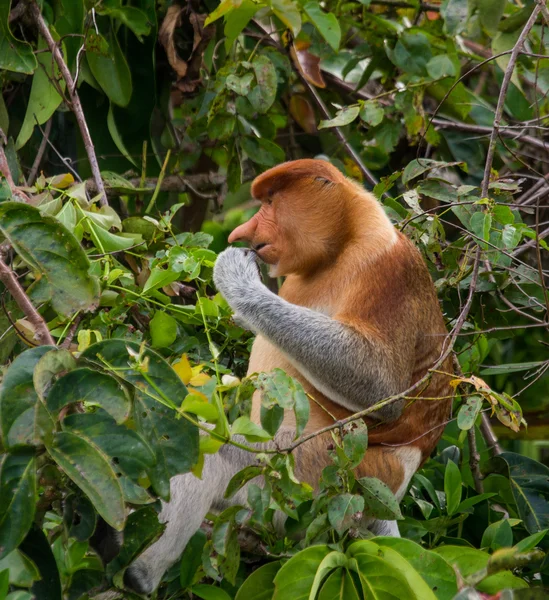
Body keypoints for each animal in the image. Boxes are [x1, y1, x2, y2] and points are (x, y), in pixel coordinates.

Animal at [125, 159, 454, 596]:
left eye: (270, 202)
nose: (242, 234)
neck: (338, 249)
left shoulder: (386, 267)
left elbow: (381, 386)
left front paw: (235, 273)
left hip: (325, 477)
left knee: (214, 450)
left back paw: (140, 575)